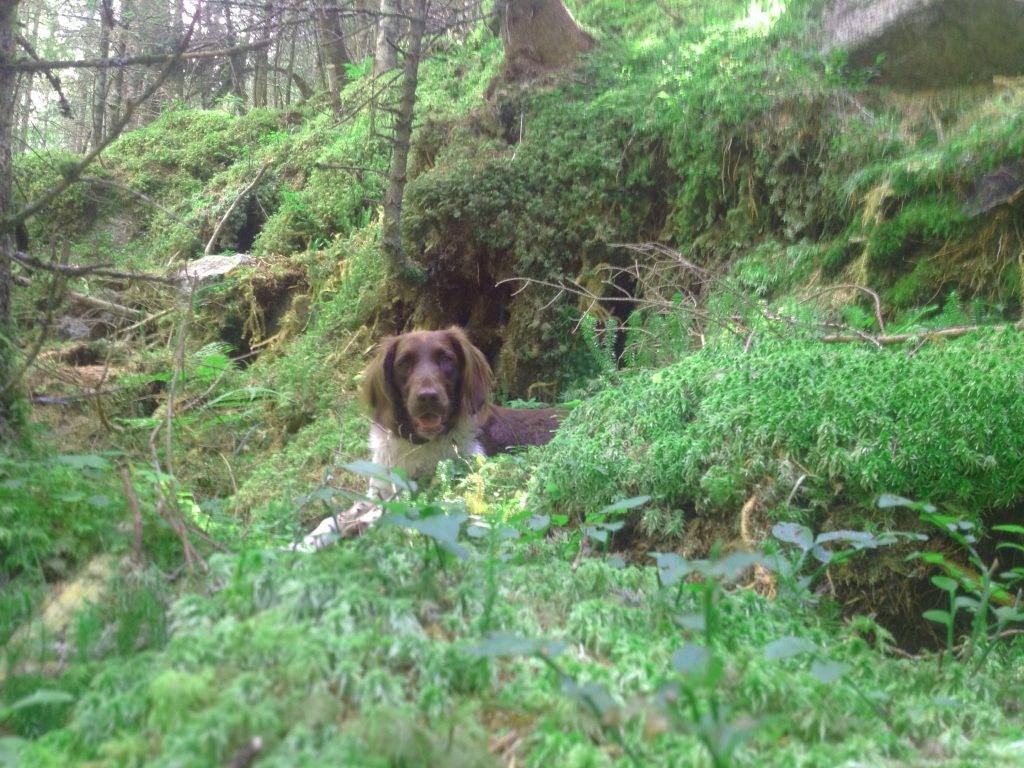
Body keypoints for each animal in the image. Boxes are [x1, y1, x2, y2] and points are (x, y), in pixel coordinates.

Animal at [294, 327, 569, 548]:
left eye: (446, 359)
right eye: (403, 363)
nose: (428, 397)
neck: (417, 444)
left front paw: (359, 527)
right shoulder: (380, 487)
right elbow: (335, 518)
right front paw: (307, 541)